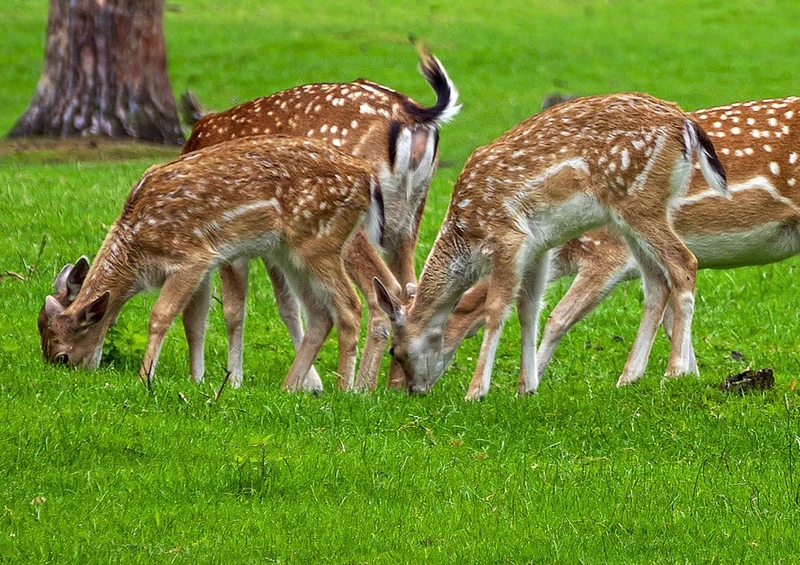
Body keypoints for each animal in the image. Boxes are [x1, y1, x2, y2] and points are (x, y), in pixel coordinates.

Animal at [38, 136, 384, 392]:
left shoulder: (190, 257)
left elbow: (160, 316)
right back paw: (290, 387)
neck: (137, 252)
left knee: (350, 305)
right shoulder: (203, 267)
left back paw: (344, 389)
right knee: (319, 313)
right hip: (289, 253)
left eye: (62, 357)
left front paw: (145, 377)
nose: (72, 375)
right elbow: (194, 323)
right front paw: (197, 379)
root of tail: (368, 178)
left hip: (320, 242)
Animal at [176, 46, 460, 391]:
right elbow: (288, 305)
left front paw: (234, 380)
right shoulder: (275, 246)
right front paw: (311, 383)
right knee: (409, 288)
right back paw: (395, 385)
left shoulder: (234, 237)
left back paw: (360, 386)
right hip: (408, 217)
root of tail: (415, 114)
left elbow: (234, 309)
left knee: (383, 292)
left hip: (352, 226)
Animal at [373, 93, 728, 400]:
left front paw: (476, 391)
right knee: (656, 282)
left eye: (395, 350)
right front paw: (526, 388)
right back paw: (629, 377)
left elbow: (496, 309)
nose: (413, 390)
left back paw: (675, 371)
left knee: (684, 263)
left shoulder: (508, 237)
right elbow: (529, 310)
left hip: (639, 203)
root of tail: (685, 122)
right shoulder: (538, 248)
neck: (465, 238)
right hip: (639, 216)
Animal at [439, 95, 800, 387]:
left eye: (450, 312)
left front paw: (533, 379)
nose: (417, 379)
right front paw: (691, 375)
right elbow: (668, 316)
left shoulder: (607, 254)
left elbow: (558, 317)